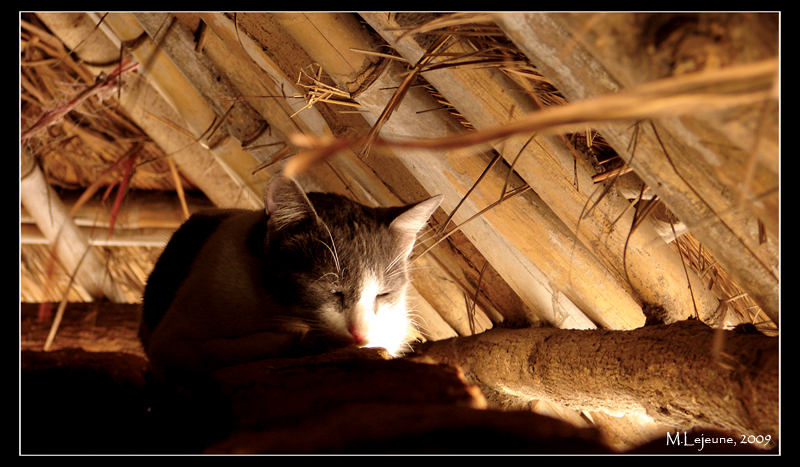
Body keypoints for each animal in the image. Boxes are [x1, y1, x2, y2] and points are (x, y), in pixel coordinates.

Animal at [142, 175, 444, 380]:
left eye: (383, 294)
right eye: (333, 291)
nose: (361, 333)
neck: (273, 307)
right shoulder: (171, 343)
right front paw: (306, 340)